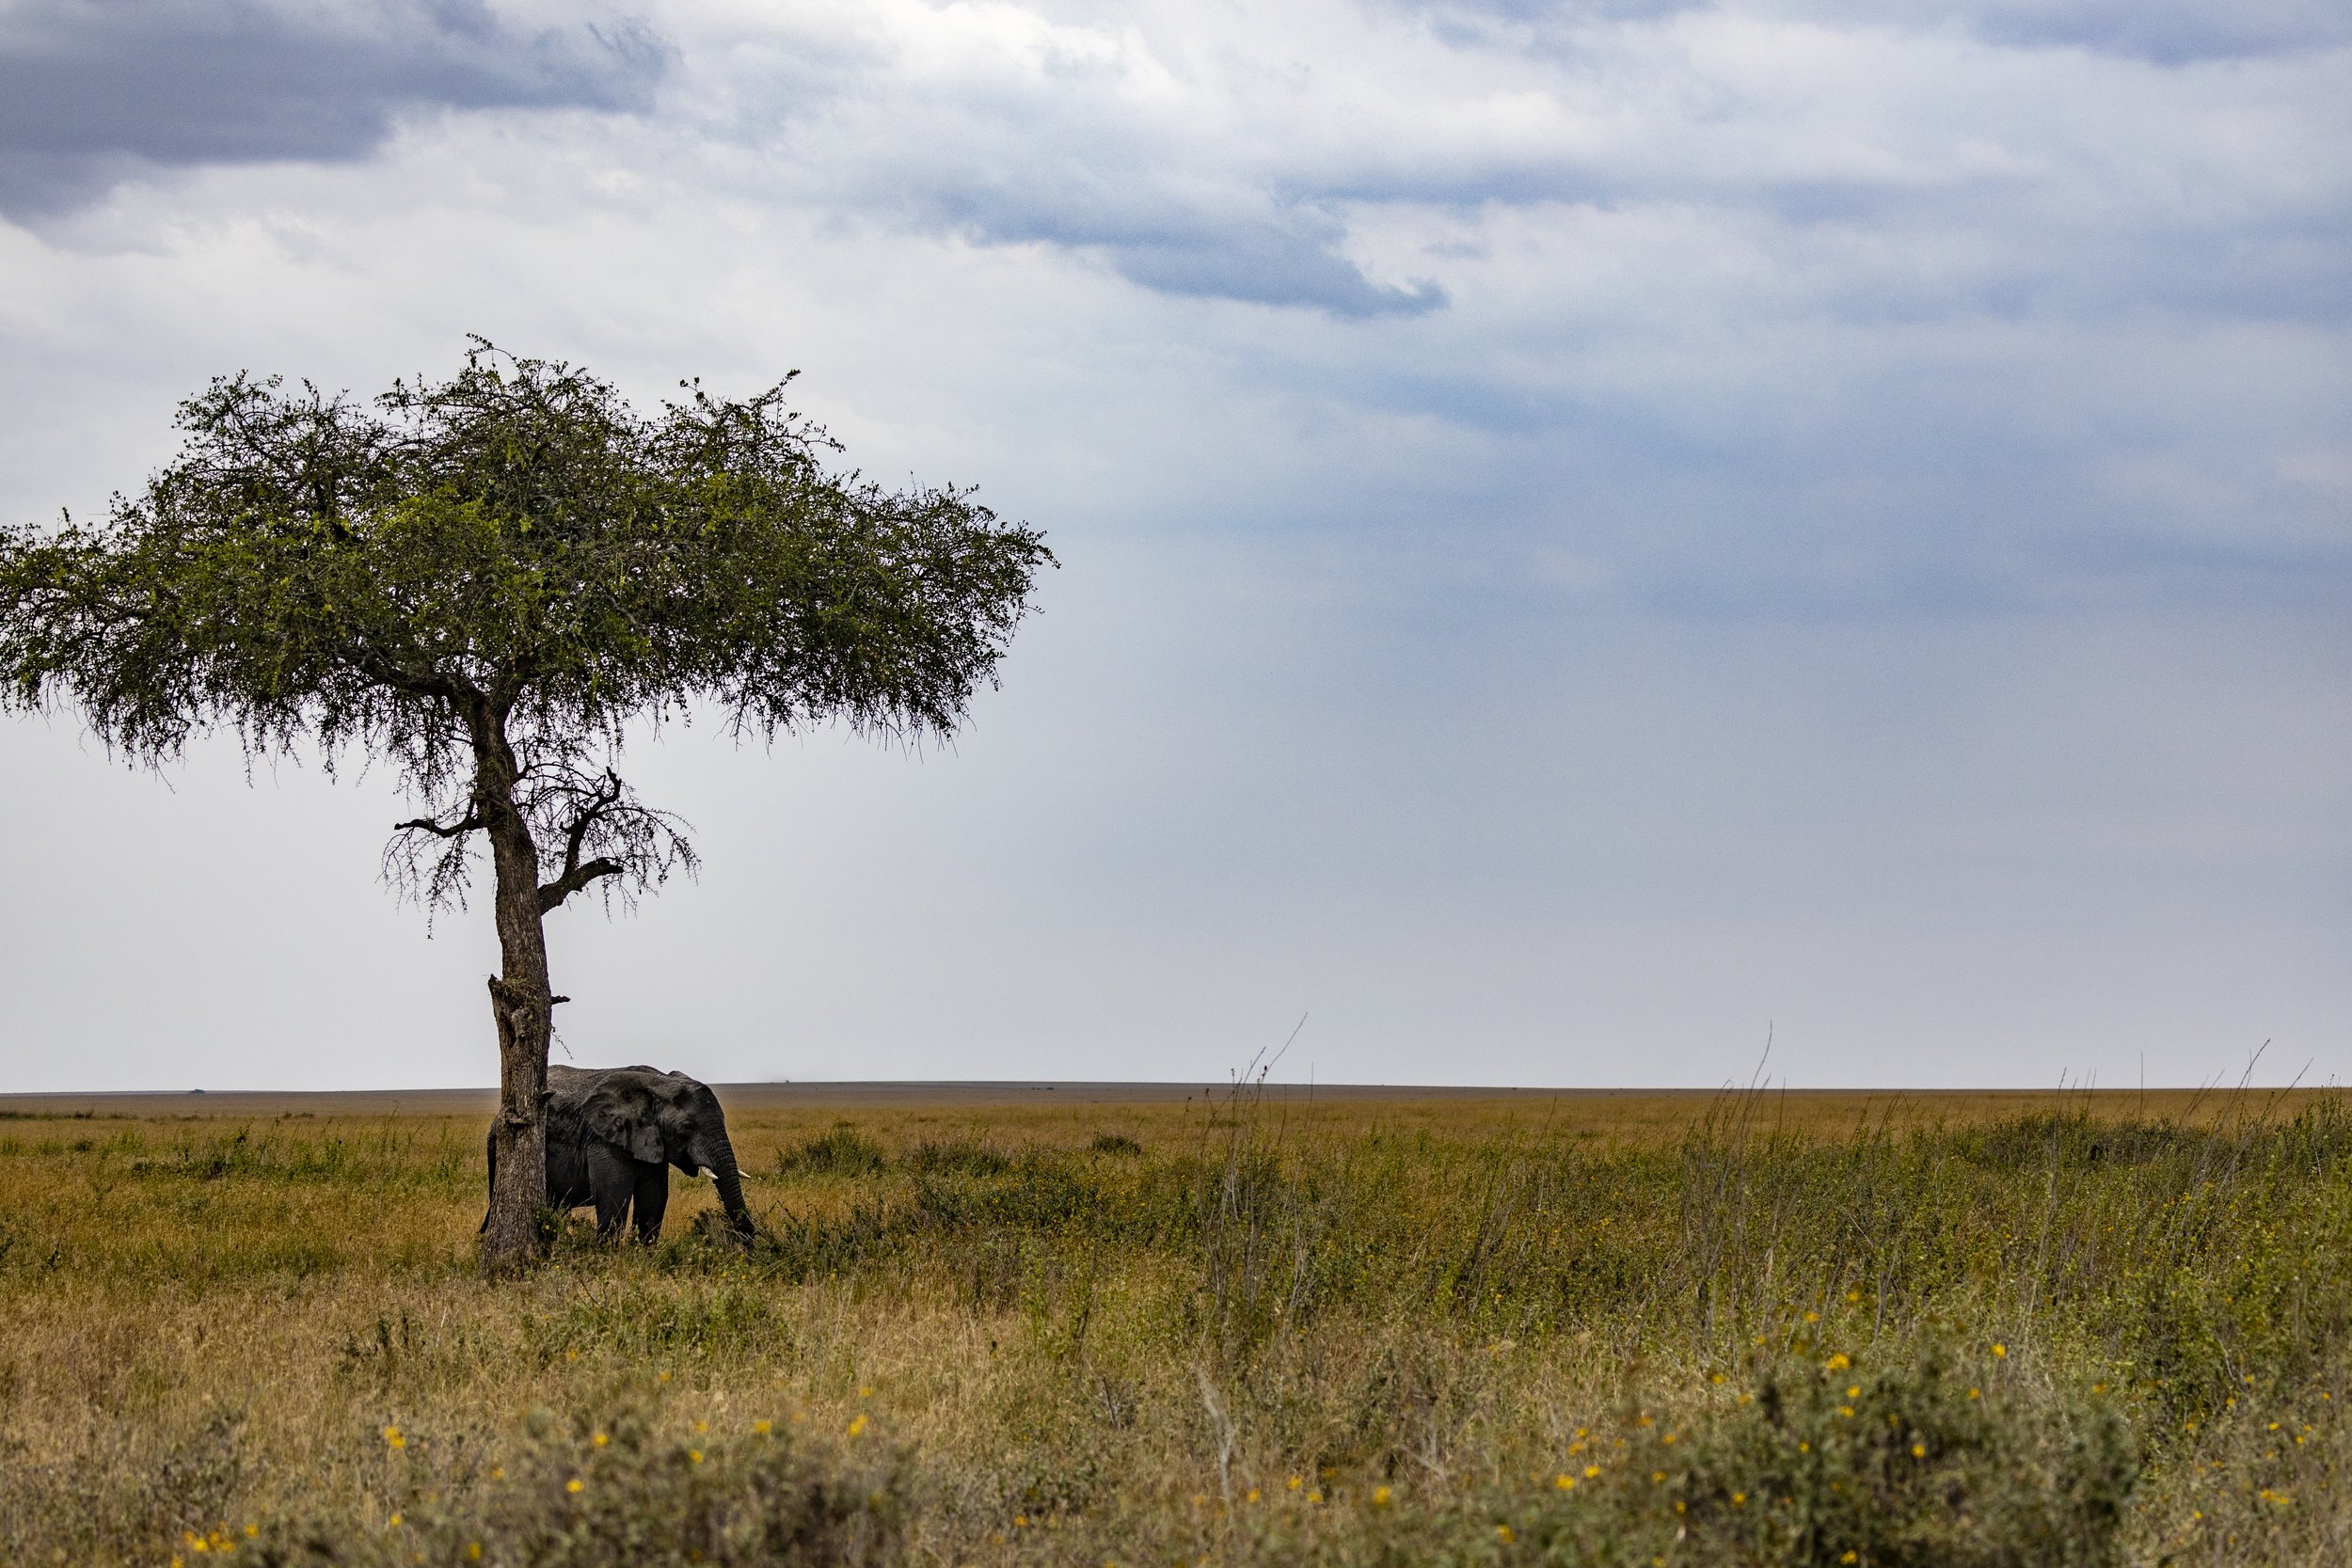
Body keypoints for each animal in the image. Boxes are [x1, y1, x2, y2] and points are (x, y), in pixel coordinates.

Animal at [481, 1064, 755, 1244]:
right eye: (687, 1127)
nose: (748, 1249)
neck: (658, 1083)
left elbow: (654, 1199)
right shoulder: (603, 1138)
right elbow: (613, 1197)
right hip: (498, 1145)